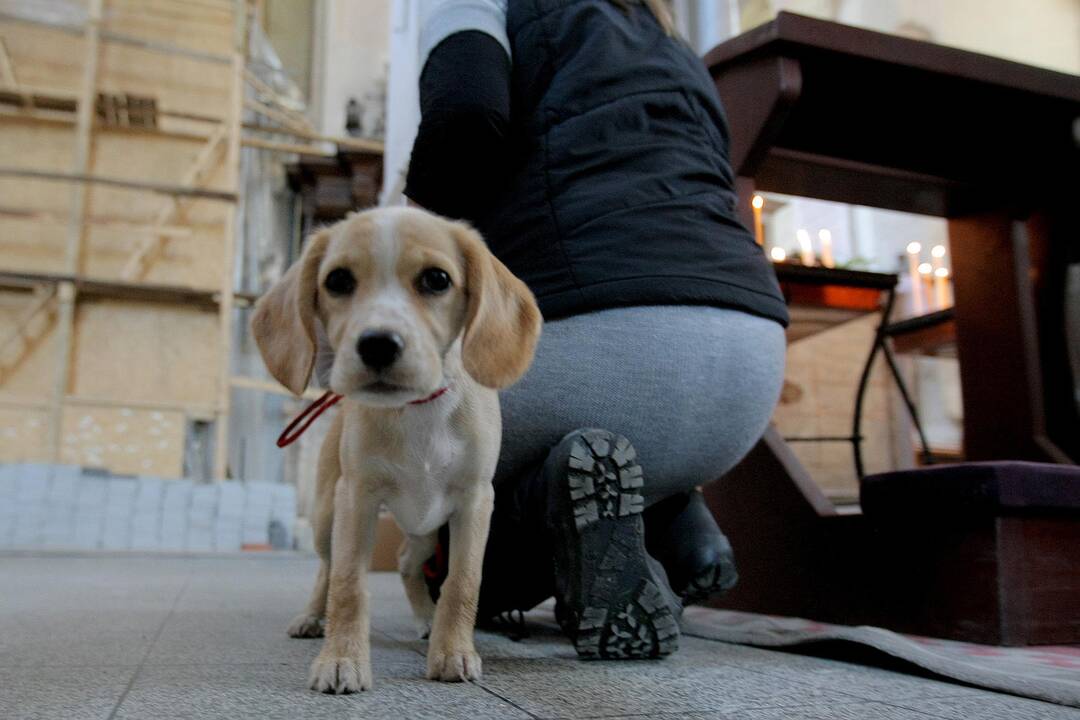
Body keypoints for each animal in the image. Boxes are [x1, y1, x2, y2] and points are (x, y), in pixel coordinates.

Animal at [250, 207, 540, 690]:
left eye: (437, 279)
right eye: (338, 281)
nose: (377, 344)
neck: (417, 411)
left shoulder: (475, 501)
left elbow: (463, 581)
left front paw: (453, 652)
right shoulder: (357, 499)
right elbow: (348, 583)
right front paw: (342, 659)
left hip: (428, 529)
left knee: (406, 562)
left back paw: (426, 619)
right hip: (327, 515)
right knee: (326, 568)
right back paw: (312, 617)